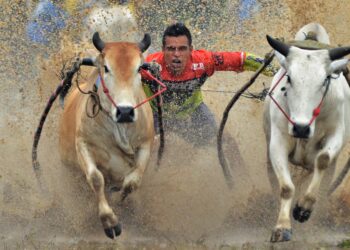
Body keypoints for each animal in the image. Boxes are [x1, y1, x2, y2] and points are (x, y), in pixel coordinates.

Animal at [59, 32, 154, 238]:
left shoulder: (146, 144)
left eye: (139, 68)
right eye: (106, 68)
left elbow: (132, 182)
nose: (125, 111)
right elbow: (96, 178)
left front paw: (120, 198)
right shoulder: (83, 144)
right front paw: (110, 221)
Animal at [266, 23, 350, 242]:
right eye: (289, 77)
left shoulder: (336, 134)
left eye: (325, 79)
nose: (301, 128)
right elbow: (286, 188)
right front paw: (282, 226)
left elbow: (323, 159)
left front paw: (304, 207)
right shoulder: (277, 141)